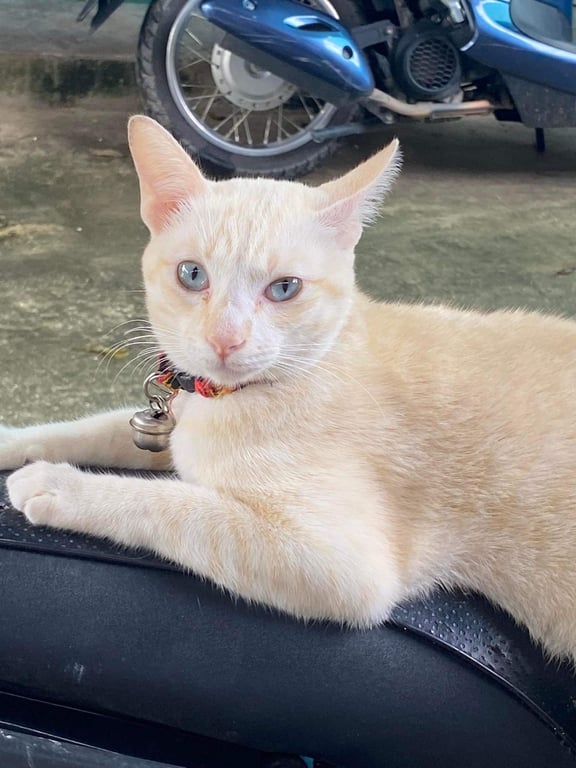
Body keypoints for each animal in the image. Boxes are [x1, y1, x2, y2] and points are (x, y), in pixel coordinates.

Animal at [2, 114, 576, 664]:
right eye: (192, 274)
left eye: (284, 288)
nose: (226, 339)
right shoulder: (164, 429)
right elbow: (91, 428)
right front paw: (13, 441)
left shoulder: (341, 565)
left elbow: (179, 506)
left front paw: (59, 484)